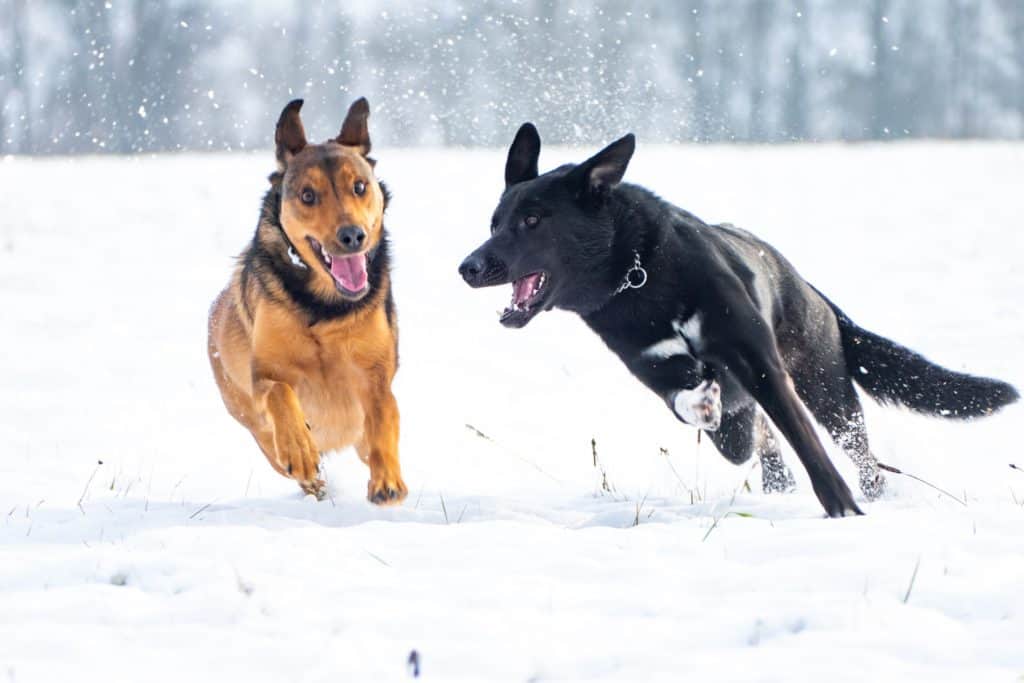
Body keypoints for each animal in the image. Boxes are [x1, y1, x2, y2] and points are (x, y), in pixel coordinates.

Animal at [205, 96, 405, 505]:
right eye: (308, 195)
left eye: (359, 186)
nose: (352, 236)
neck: (324, 307)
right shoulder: (263, 372)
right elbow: (279, 391)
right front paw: (299, 449)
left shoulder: (376, 374)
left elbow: (383, 416)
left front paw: (388, 480)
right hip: (253, 424)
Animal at [460, 124, 1019, 518]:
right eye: (495, 223)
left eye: (533, 221)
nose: (468, 267)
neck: (639, 275)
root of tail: (807, 286)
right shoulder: (655, 368)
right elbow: (692, 402)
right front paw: (704, 400)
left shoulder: (760, 363)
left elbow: (804, 441)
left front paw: (841, 509)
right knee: (754, 439)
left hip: (827, 388)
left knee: (856, 452)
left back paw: (869, 495)